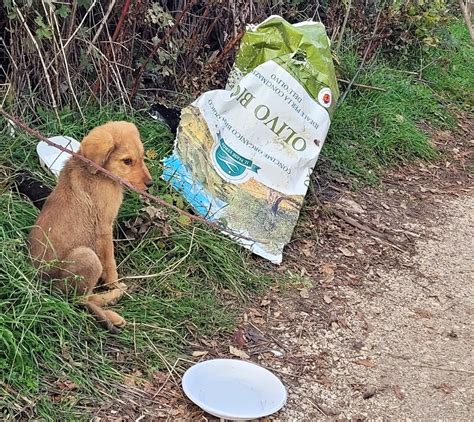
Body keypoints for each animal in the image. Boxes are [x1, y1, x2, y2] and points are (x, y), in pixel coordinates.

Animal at [29, 119, 152, 332]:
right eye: (127, 161)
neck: (98, 173)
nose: (150, 184)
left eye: (141, 157)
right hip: (88, 257)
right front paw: (114, 284)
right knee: (80, 299)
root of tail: (43, 284)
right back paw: (113, 301)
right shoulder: (104, 228)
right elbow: (110, 263)